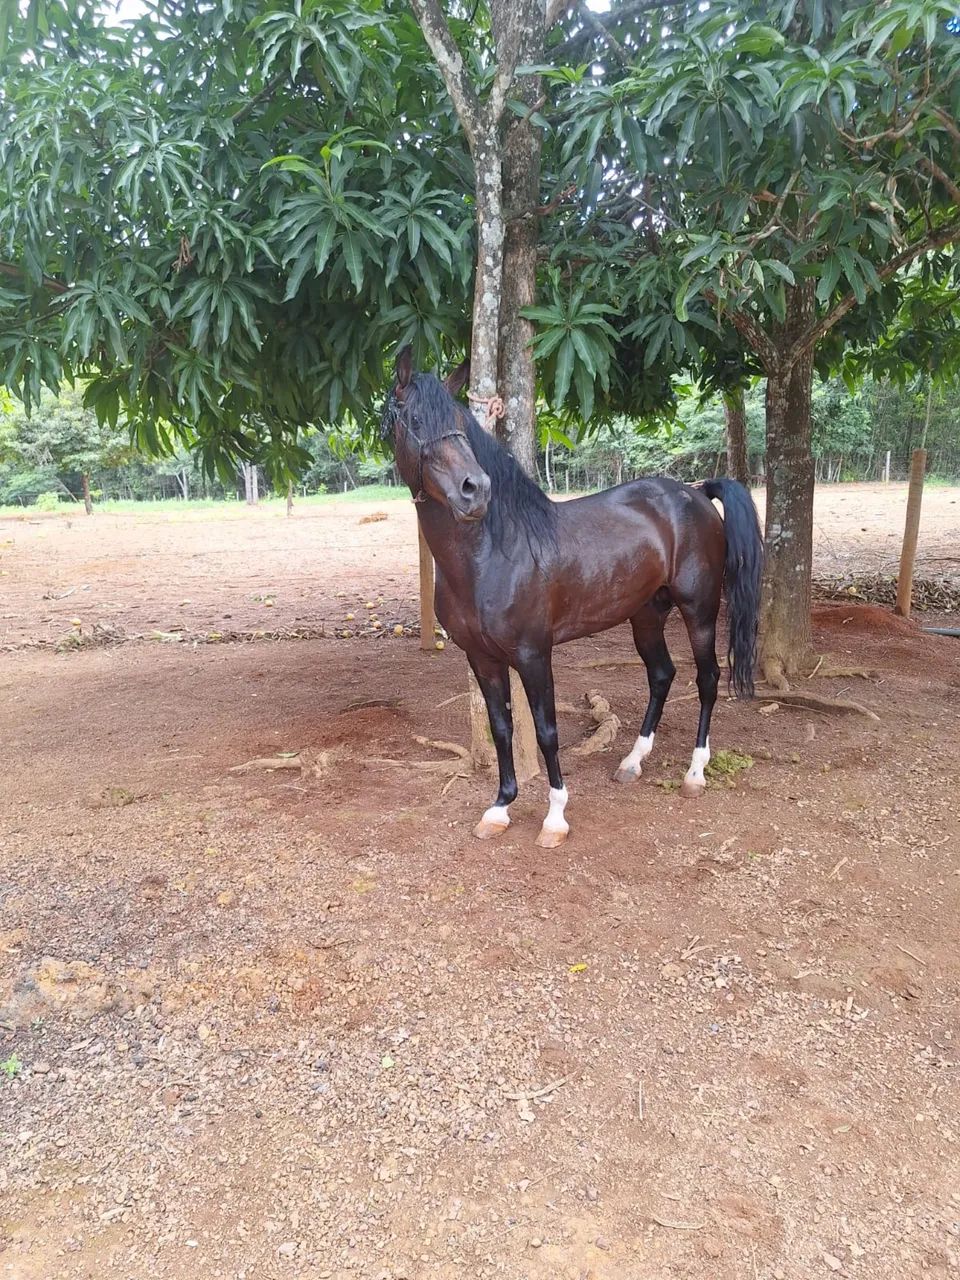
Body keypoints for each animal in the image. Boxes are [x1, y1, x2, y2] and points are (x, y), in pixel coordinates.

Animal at [381, 348, 763, 849]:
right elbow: (501, 728)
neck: (491, 554)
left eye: (461, 423)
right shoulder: (481, 657)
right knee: (662, 675)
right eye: (416, 420)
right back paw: (632, 762)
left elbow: (546, 731)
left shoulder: (533, 654)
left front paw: (555, 817)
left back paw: (695, 772)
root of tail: (695, 494)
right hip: (646, 616)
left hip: (698, 611)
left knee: (708, 679)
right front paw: (500, 808)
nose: (475, 489)